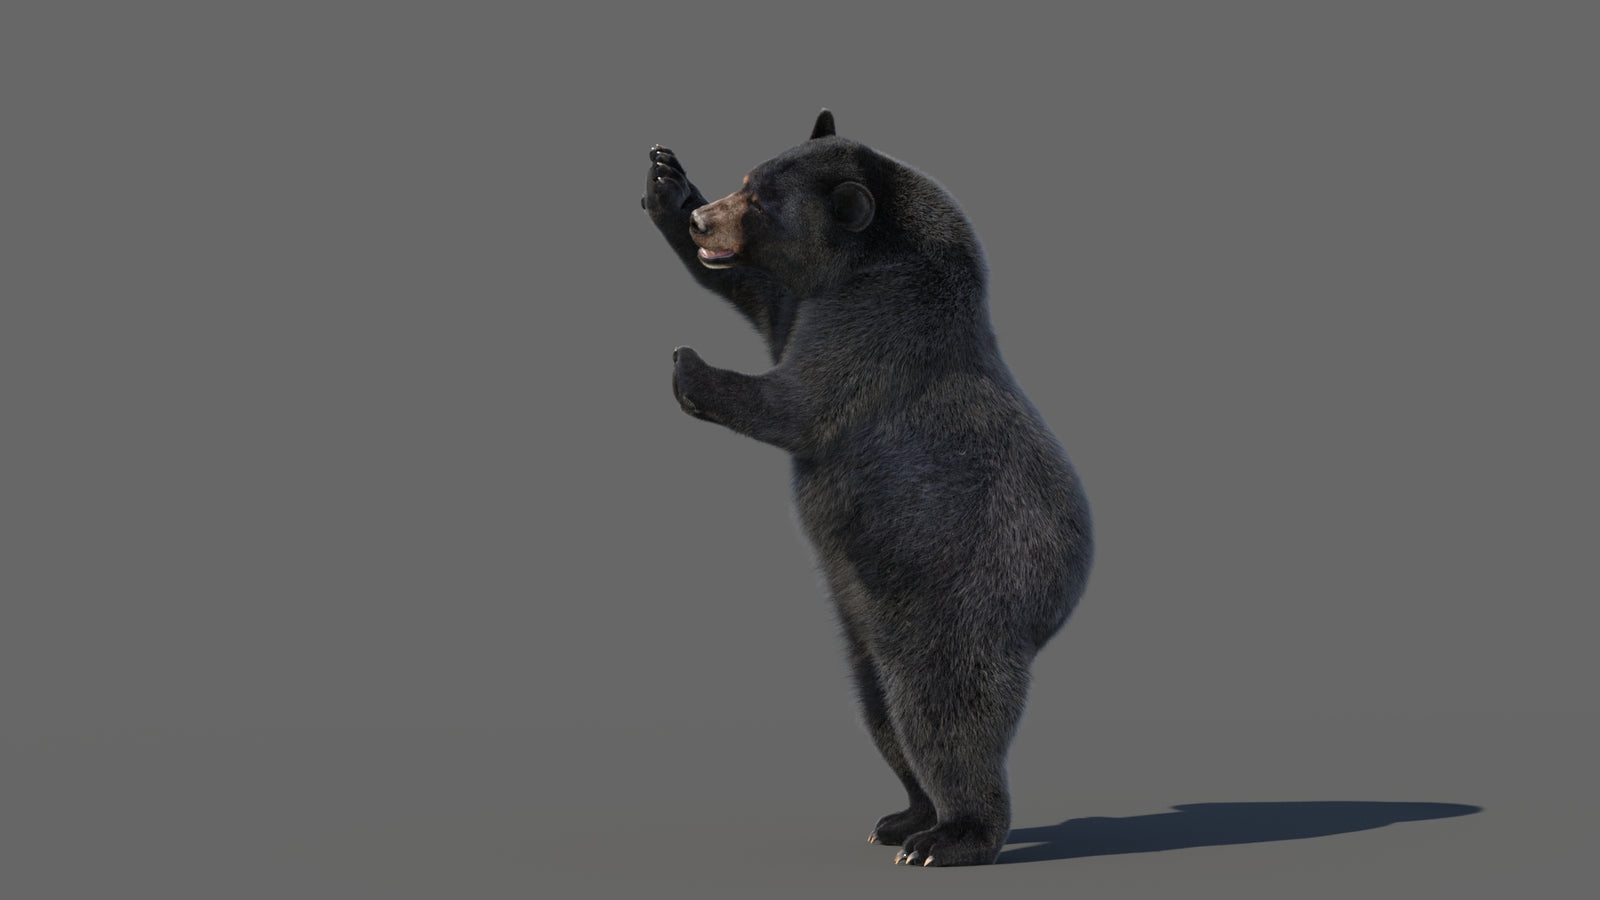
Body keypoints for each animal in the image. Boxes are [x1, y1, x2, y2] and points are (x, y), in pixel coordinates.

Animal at [641, 109, 1093, 867]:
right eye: (745, 179)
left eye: (762, 201)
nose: (707, 220)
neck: (875, 258)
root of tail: (1060, 602)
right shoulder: (812, 298)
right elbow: (762, 298)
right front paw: (666, 181)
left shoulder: (879, 324)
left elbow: (802, 401)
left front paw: (689, 365)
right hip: (866, 619)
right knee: (879, 709)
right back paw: (904, 818)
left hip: (962, 601)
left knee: (943, 715)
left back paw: (952, 837)